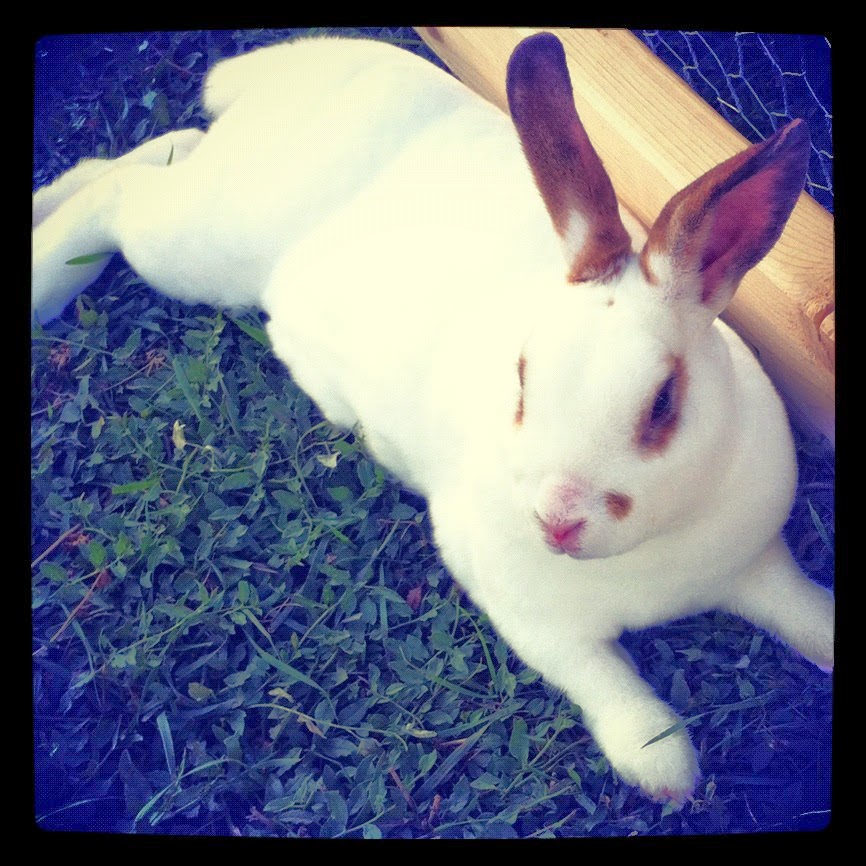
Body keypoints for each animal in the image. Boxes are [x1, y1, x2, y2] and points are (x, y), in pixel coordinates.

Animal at [32, 31, 833, 803]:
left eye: (664, 401)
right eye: (523, 377)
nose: (557, 522)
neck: (650, 560)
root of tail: (275, 80)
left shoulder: (759, 565)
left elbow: (805, 612)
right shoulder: (538, 627)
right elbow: (609, 688)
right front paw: (662, 771)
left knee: (154, 151)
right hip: (196, 244)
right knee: (116, 194)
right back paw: (44, 278)